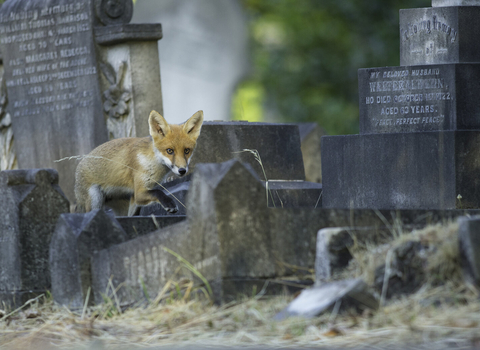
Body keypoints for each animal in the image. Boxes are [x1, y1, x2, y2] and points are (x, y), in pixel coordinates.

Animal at [74, 109, 203, 215]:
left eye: (187, 151)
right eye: (169, 151)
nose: (182, 170)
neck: (152, 162)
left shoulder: (136, 198)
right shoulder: (139, 192)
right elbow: (158, 192)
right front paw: (169, 203)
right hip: (95, 200)